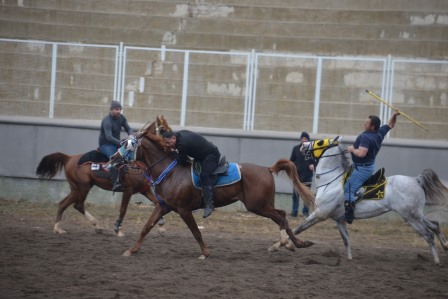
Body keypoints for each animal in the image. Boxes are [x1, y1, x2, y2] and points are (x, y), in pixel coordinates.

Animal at [111, 117, 316, 260]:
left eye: (127, 144)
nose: (113, 158)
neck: (170, 172)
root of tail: (267, 169)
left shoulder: (184, 209)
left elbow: (196, 231)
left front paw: (205, 253)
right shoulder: (163, 206)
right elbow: (146, 227)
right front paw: (131, 250)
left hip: (257, 205)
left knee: (281, 215)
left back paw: (287, 243)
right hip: (262, 204)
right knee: (281, 216)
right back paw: (295, 243)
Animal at [270, 137, 448, 264]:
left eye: (320, 141)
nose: (303, 145)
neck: (332, 181)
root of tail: (416, 180)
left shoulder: (320, 214)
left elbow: (297, 229)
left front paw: (276, 246)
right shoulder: (339, 220)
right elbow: (346, 239)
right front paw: (349, 259)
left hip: (410, 217)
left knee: (428, 235)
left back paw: (436, 260)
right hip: (416, 214)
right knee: (435, 226)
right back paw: (445, 246)